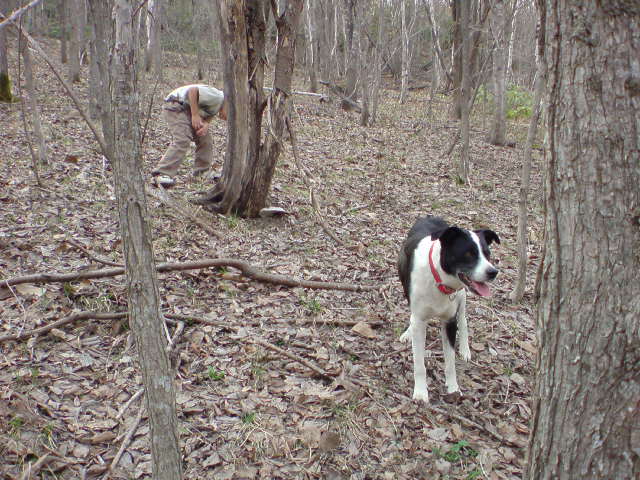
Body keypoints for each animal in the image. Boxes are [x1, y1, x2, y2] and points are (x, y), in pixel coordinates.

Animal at [396, 217, 500, 402]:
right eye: (468, 254)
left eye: (487, 254)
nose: (493, 272)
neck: (439, 279)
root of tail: (429, 216)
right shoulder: (420, 318)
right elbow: (419, 362)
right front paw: (421, 393)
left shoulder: (449, 321)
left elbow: (450, 361)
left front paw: (453, 388)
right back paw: (408, 331)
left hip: (462, 296)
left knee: (463, 319)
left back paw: (465, 349)